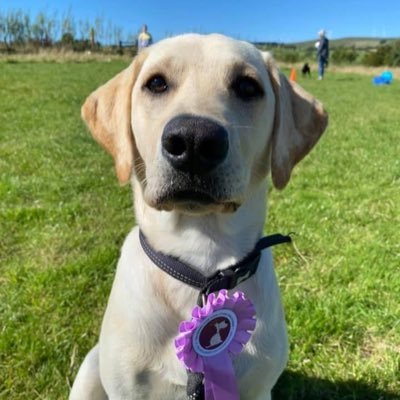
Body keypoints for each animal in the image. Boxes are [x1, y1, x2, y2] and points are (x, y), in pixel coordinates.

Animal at [69, 35, 328, 400]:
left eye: (248, 87)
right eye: (156, 83)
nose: (193, 139)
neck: (200, 258)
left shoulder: (257, 389)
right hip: (90, 369)